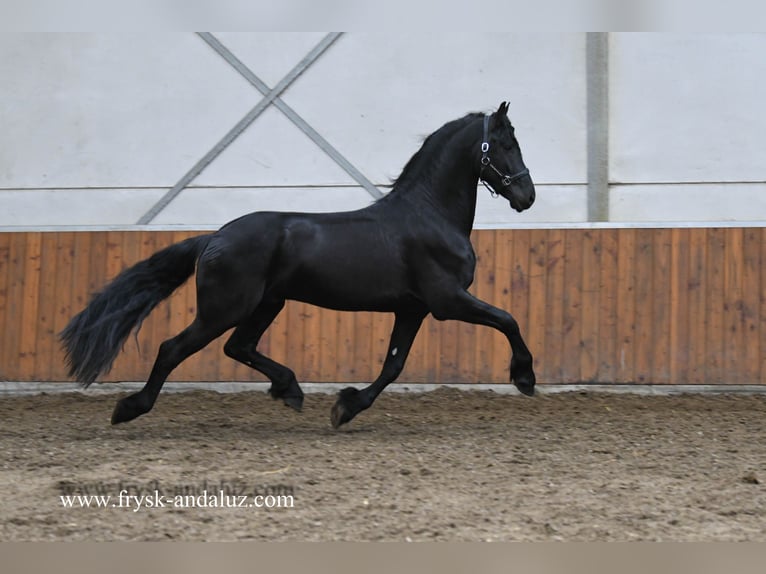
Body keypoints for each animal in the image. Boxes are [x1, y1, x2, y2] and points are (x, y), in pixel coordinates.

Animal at [60, 102, 536, 428]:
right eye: (506, 144)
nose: (527, 197)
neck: (429, 214)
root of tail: (214, 237)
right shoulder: (447, 301)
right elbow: (508, 319)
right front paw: (525, 377)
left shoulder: (412, 309)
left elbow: (393, 365)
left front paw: (346, 407)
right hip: (225, 309)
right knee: (173, 348)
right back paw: (129, 408)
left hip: (267, 304)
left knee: (238, 347)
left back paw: (290, 389)